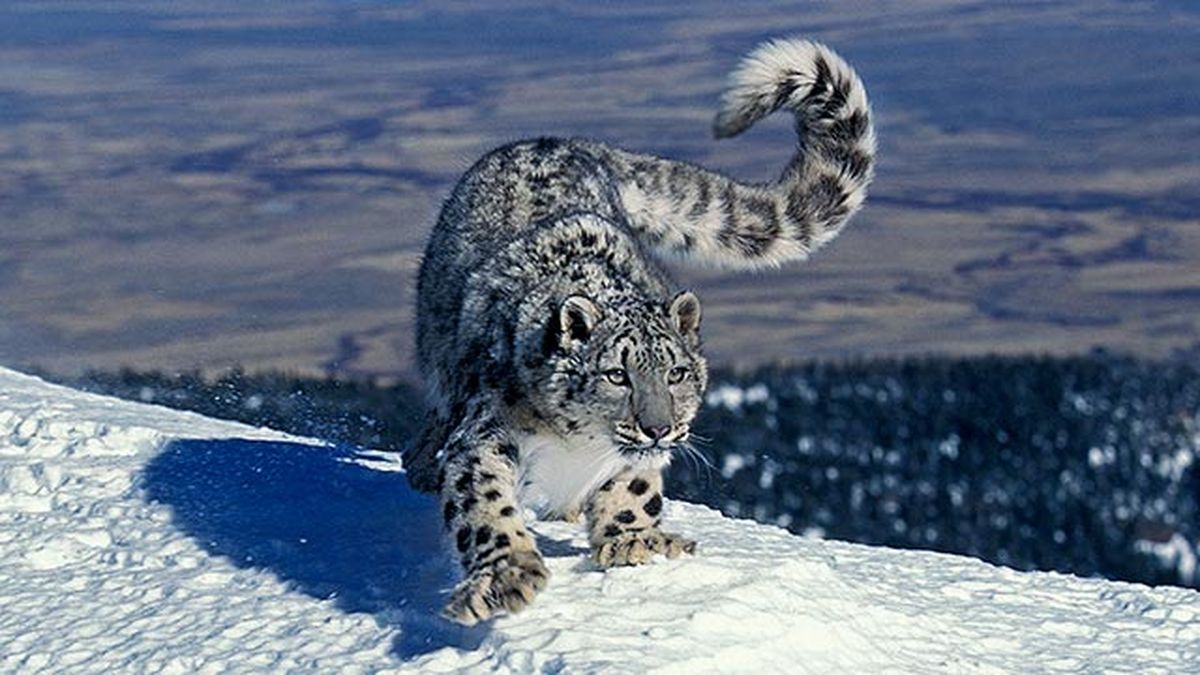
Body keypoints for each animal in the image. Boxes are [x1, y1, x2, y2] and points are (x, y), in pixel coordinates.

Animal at [403, 37, 876, 624]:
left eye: (676, 373)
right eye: (615, 375)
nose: (658, 428)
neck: (579, 444)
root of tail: (567, 142)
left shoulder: (631, 460)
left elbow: (633, 486)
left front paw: (635, 540)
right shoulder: (486, 431)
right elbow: (484, 499)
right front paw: (504, 576)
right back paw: (422, 462)